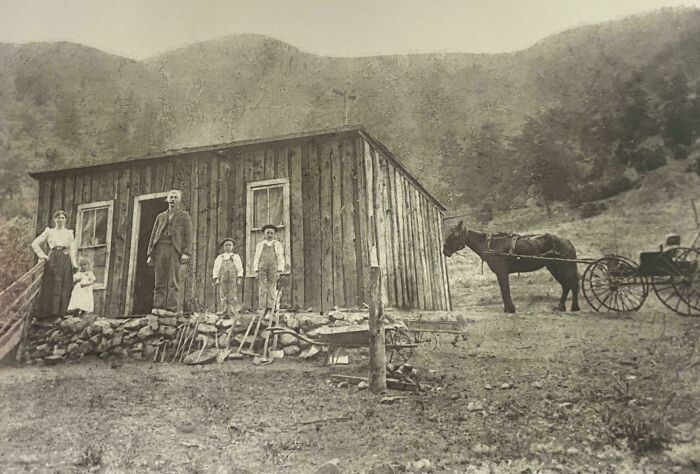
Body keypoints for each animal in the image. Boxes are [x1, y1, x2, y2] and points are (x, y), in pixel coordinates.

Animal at [442, 220, 580, 312]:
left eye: (454, 235)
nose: (445, 251)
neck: (491, 245)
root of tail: (567, 241)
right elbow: (504, 291)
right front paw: (508, 309)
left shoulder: (501, 272)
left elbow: (505, 291)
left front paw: (510, 309)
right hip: (554, 268)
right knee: (567, 286)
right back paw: (562, 307)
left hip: (563, 267)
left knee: (572, 285)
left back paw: (573, 307)